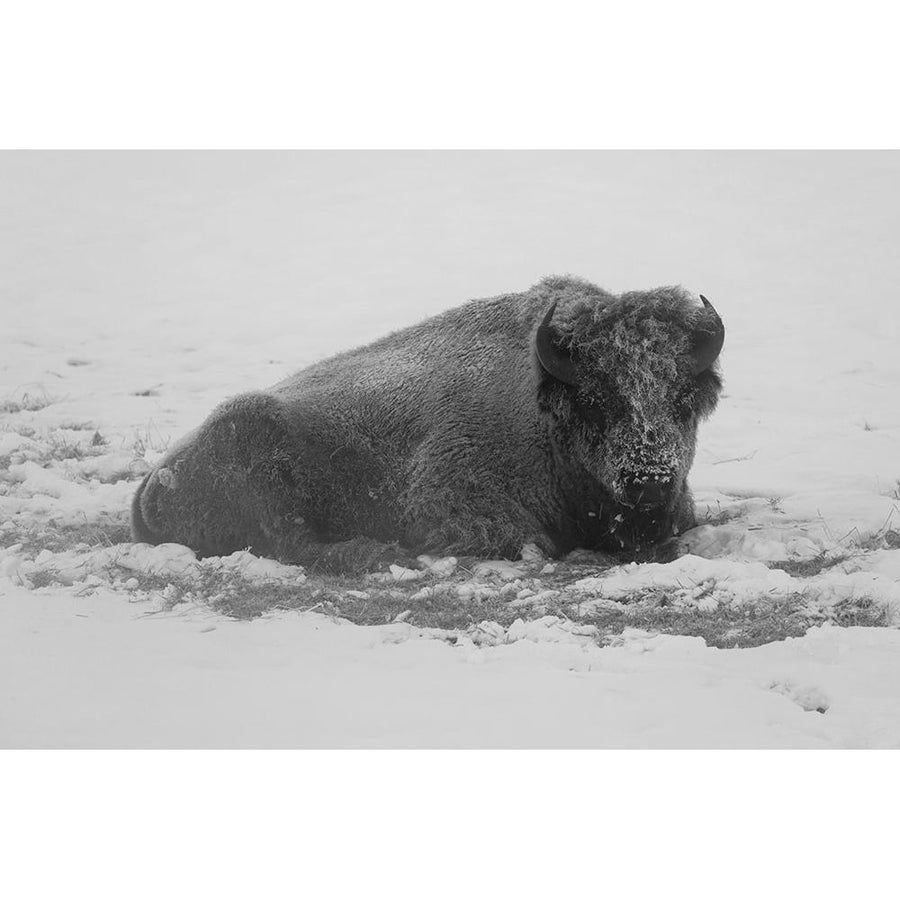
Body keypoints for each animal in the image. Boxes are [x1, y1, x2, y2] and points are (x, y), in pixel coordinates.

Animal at [132, 274, 724, 568]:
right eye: (598, 400)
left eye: (683, 399)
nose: (649, 481)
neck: (544, 406)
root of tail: (150, 487)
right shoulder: (450, 503)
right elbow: (532, 543)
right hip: (254, 442)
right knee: (291, 543)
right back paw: (377, 553)